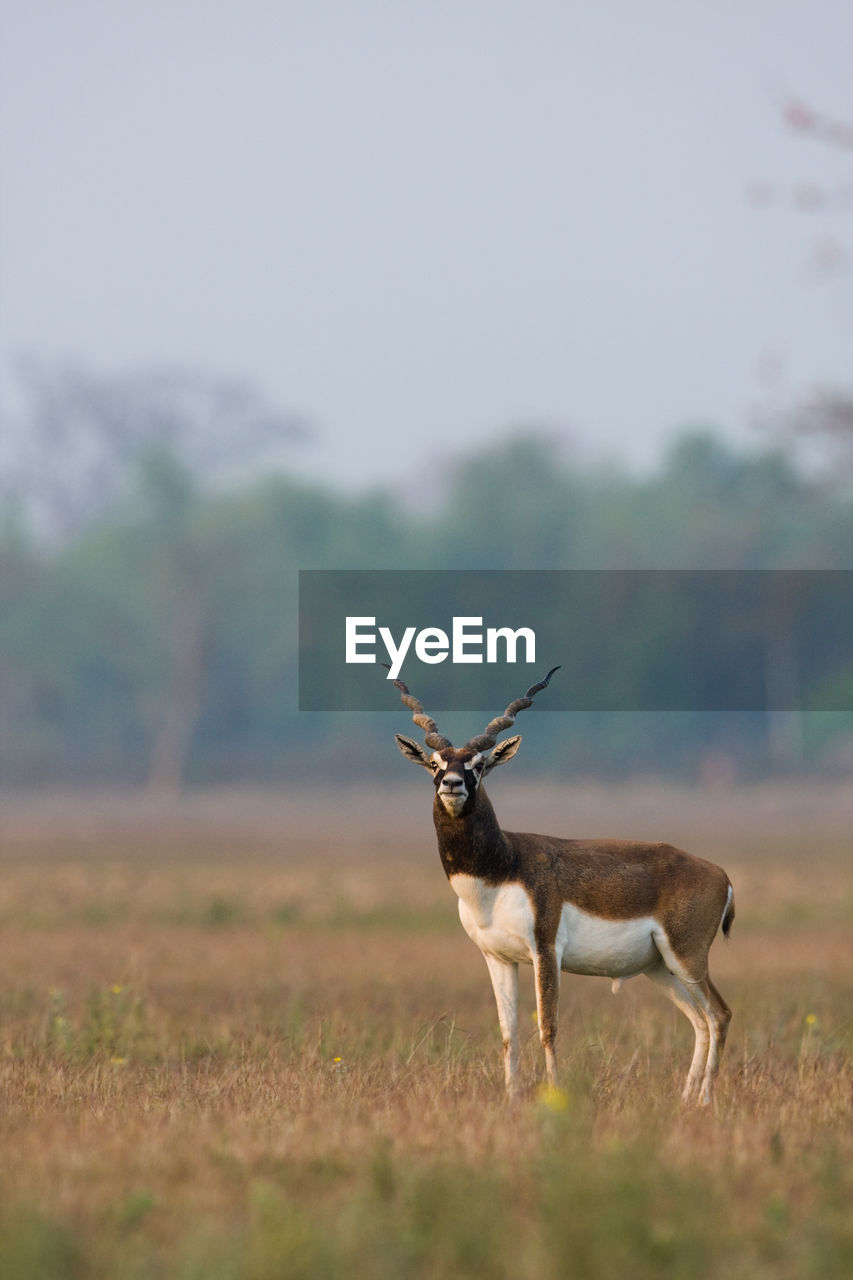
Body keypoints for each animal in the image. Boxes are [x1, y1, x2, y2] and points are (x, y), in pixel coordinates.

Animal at [391, 670, 732, 1100]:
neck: (502, 868)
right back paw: (686, 1099)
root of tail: (720, 874)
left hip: (687, 958)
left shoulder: (545, 950)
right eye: (434, 763)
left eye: (479, 764)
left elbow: (548, 1029)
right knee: (700, 1021)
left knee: (719, 1015)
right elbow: (509, 1034)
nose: (452, 784)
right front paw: (512, 1098)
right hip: (661, 968)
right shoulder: (497, 957)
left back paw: (704, 1100)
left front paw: (554, 1093)